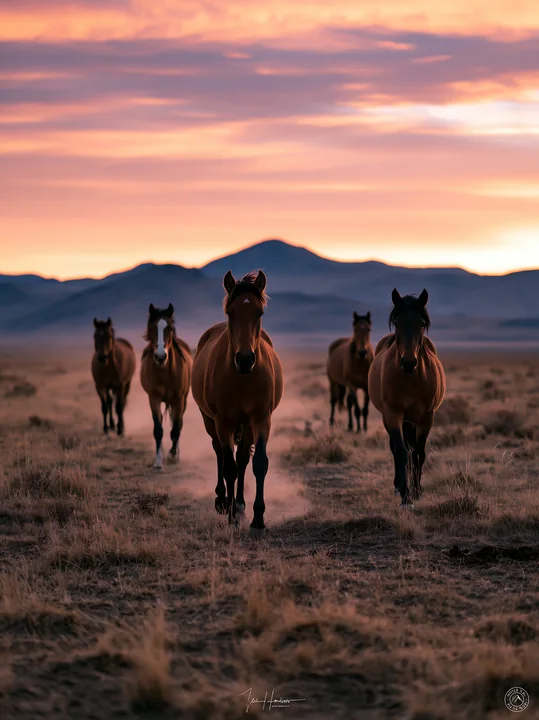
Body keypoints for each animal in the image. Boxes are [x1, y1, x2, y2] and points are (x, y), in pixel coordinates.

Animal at [140, 303, 192, 471]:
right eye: (152, 328)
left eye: (169, 328)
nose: (161, 357)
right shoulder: (154, 398)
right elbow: (158, 430)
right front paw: (158, 462)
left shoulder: (179, 399)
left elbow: (175, 429)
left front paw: (173, 455)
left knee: (179, 424)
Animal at [191, 270, 283, 536]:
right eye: (231, 312)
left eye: (259, 313)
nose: (244, 359)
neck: (242, 377)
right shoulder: (223, 421)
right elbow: (229, 467)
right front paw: (231, 516)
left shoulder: (261, 419)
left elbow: (258, 463)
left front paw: (257, 519)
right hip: (210, 420)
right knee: (220, 454)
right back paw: (223, 501)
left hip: (248, 425)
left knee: (242, 459)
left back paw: (241, 506)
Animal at [368, 289, 445, 506]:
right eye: (397, 323)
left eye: (421, 324)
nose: (409, 362)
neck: (412, 379)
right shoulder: (393, 414)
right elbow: (401, 452)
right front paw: (405, 495)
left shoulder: (427, 417)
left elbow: (418, 454)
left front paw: (417, 491)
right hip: (391, 418)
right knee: (396, 448)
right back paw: (398, 486)